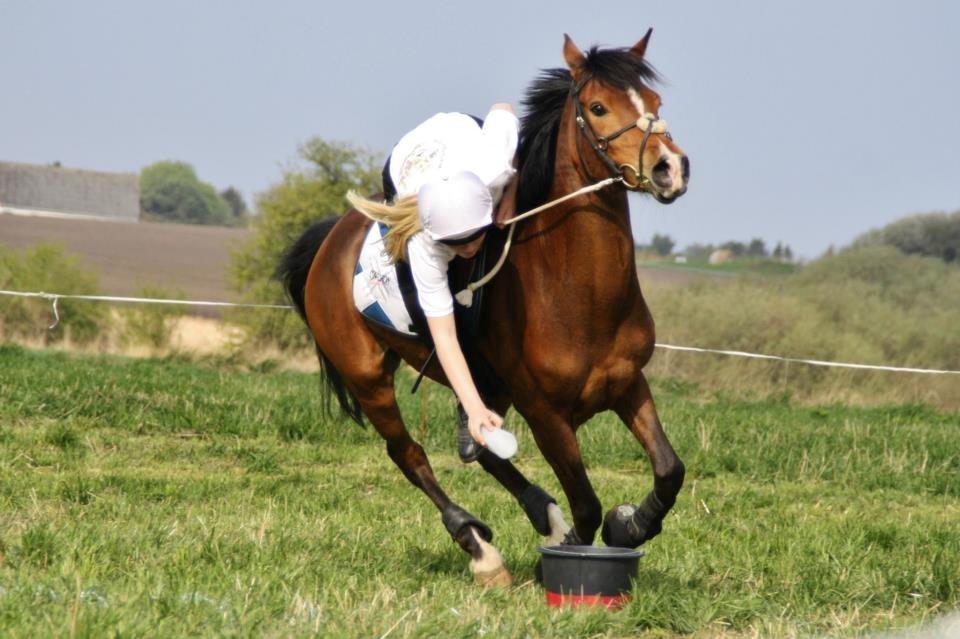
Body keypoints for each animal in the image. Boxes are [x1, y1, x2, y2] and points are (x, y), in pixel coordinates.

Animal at [278, 32, 688, 588]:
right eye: (599, 107)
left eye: (656, 102)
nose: (671, 167)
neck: (577, 294)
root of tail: (330, 239)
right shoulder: (546, 414)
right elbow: (585, 504)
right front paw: (567, 551)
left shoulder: (627, 383)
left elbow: (669, 470)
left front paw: (629, 524)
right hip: (368, 378)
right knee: (409, 454)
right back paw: (479, 548)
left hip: (486, 387)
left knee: (481, 448)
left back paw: (540, 513)